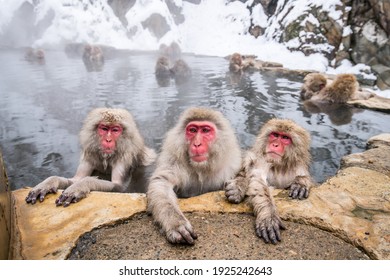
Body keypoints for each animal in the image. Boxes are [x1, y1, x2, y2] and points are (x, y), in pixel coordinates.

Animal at [24, 107, 157, 206]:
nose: (108, 140)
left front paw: (80, 186)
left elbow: (120, 187)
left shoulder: (125, 156)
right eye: (104, 128)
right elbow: (75, 179)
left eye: (115, 130)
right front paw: (48, 183)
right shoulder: (90, 153)